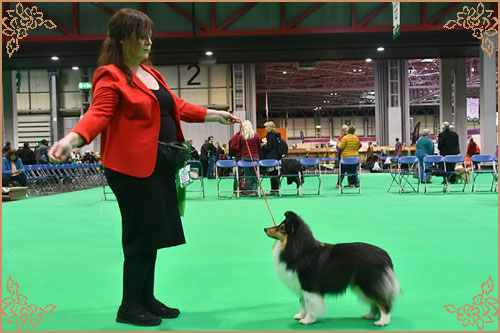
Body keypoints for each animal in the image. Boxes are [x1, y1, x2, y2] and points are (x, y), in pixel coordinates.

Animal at [264, 211, 400, 326]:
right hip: (362, 286)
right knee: (374, 302)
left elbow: (309, 305)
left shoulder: (309, 286)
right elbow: (303, 303)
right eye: (279, 225)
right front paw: (300, 315)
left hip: (368, 284)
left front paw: (307, 320)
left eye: (282, 228)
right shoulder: (301, 286)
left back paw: (382, 322)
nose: (265, 229)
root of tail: (385, 256)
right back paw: (369, 315)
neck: (300, 251)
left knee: (383, 303)